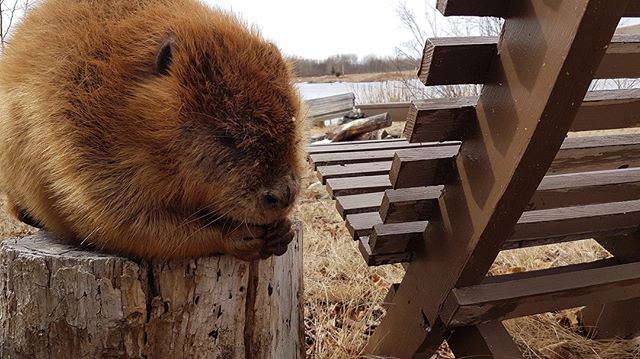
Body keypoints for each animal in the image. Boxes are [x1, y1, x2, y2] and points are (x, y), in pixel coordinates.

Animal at [0, 0, 304, 260]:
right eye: (226, 136)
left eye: (294, 130)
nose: (282, 195)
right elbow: (120, 220)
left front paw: (283, 231)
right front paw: (241, 237)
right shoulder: (74, 136)